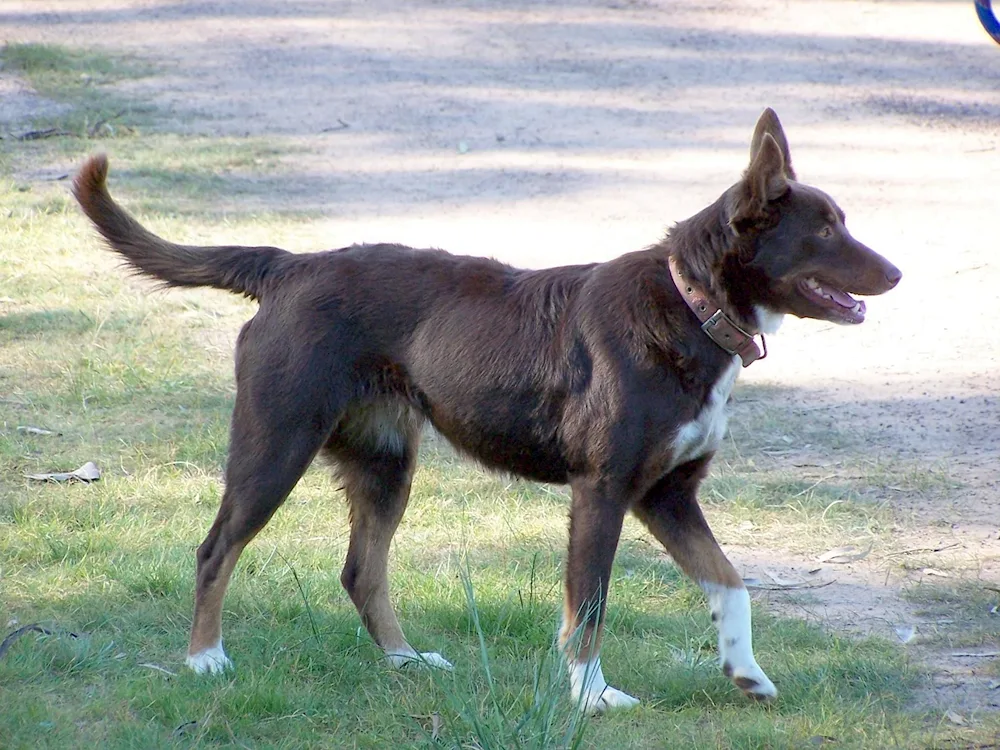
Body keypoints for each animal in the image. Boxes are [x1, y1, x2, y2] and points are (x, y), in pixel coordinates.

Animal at [70, 108, 900, 712]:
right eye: (826, 228)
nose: (896, 271)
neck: (691, 307)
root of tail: (291, 266)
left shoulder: (667, 494)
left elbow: (730, 584)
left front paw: (745, 672)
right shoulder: (603, 491)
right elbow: (588, 608)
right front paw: (592, 699)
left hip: (384, 463)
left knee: (361, 571)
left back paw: (406, 661)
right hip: (275, 443)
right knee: (217, 550)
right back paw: (205, 659)